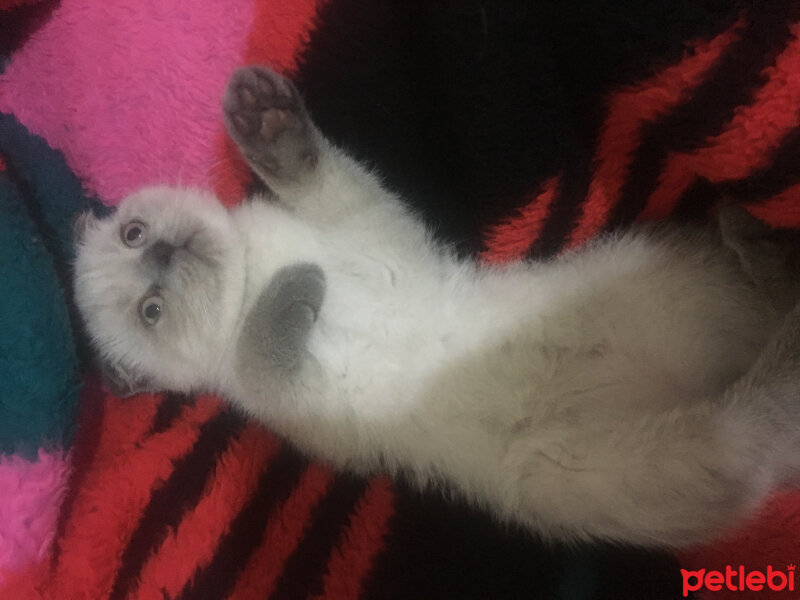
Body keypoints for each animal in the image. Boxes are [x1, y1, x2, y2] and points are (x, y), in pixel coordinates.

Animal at [73, 64, 800, 548]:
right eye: (150, 312)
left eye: (133, 233)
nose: (162, 254)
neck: (258, 267)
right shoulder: (309, 409)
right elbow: (260, 346)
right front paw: (295, 287)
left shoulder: (376, 238)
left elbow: (320, 177)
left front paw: (265, 119)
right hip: (634, 466)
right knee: (754, 426)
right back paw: (768, 286)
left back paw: (751, 236)